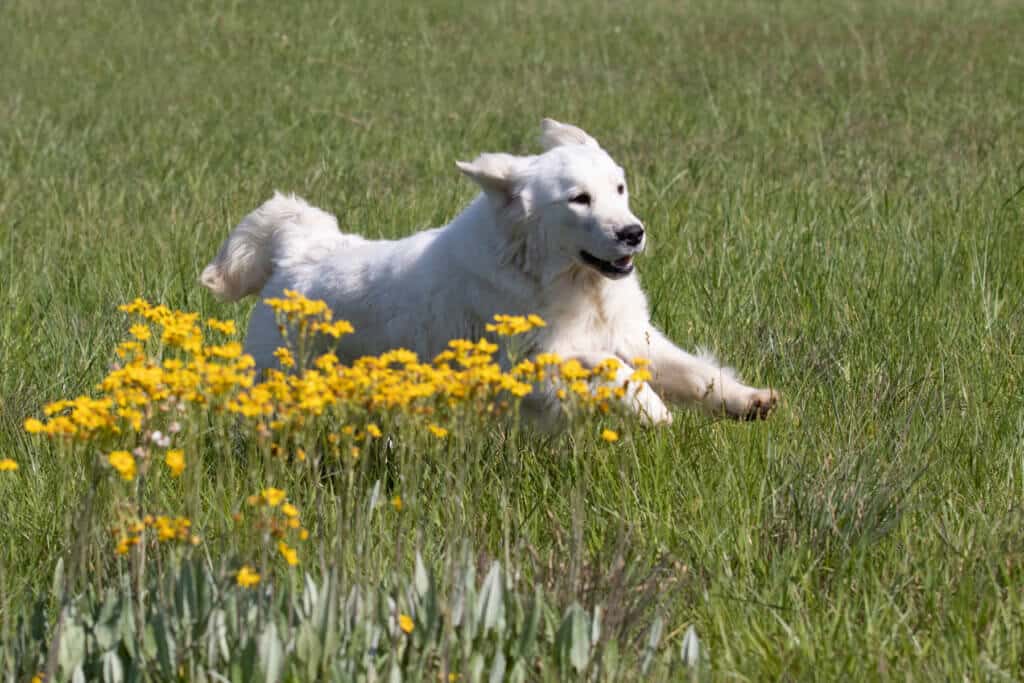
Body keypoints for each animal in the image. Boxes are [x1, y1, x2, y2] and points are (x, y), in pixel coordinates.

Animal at [197, 120, 774, 423]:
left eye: (619, 188)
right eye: (578, 199)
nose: (633, 232)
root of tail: (299, 251)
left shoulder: (634, 335)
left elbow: (695, 372)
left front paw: (749, 400)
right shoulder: (536, 360)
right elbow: (614, 370)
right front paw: (654, 411)